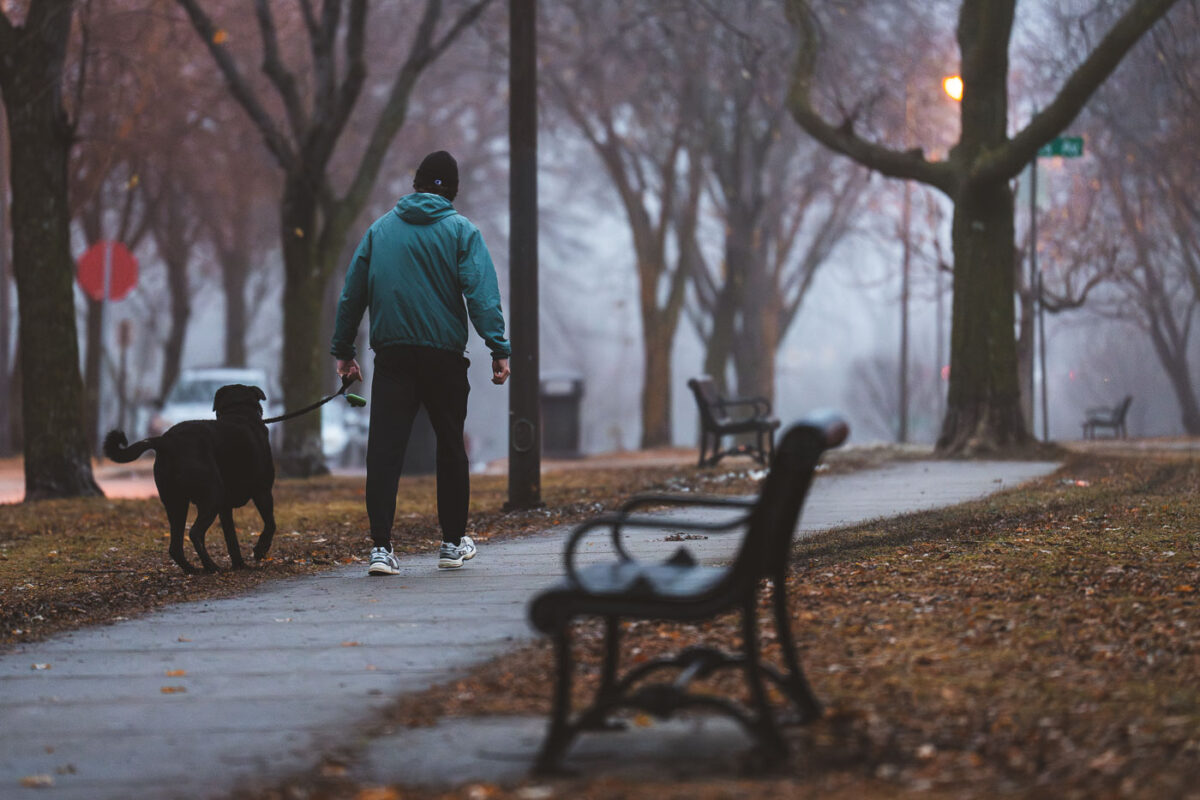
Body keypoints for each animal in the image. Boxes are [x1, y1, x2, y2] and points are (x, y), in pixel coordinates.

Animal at [103, 383, 276, 573]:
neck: (239, 411)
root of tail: (166, 441)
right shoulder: (263, 492)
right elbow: (270, 524)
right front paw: (260, 550)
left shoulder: (225, 508)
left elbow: (231, 538)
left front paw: (240, 564)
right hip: (212, 495)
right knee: (195, 533)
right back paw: (211, 566)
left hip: (176, 503)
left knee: (176, 546)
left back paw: (193, 569)